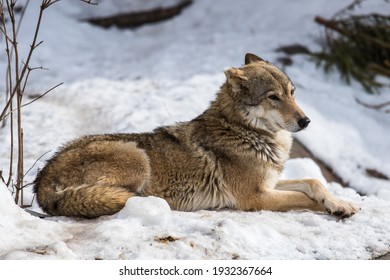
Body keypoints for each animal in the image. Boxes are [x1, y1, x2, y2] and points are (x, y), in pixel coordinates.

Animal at [34, 53, 360, 219]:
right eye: (273, 97)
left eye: (292, 93)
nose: (306, 121)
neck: (245, 131)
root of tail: (41, 183)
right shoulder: (255, 197)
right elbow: (303, 197)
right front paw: (340, 207)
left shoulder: (269, 183)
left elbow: (313, 182)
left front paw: (338, 201)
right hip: (137, 156)